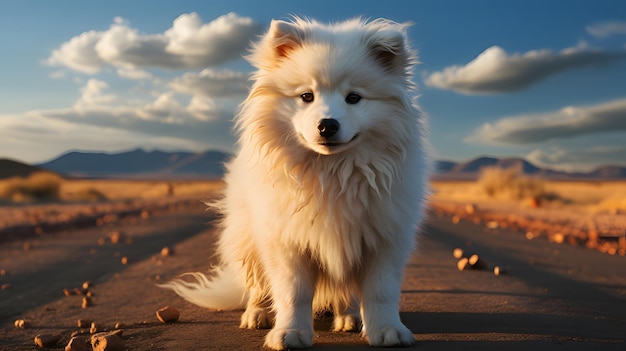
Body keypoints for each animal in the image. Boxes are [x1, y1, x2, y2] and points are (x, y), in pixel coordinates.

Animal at [160, 16, 428, 350]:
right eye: (306, 96)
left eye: (354, 98)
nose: (327, 125)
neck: (331, 174)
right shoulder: (286, 241)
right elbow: (292, 293)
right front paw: (290, 333)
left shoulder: (384, 239)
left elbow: (380, 292)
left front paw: (387, 330)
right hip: (249, 240)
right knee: (257, 286)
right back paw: (257, 314)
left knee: (346, 292)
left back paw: (349, 317)